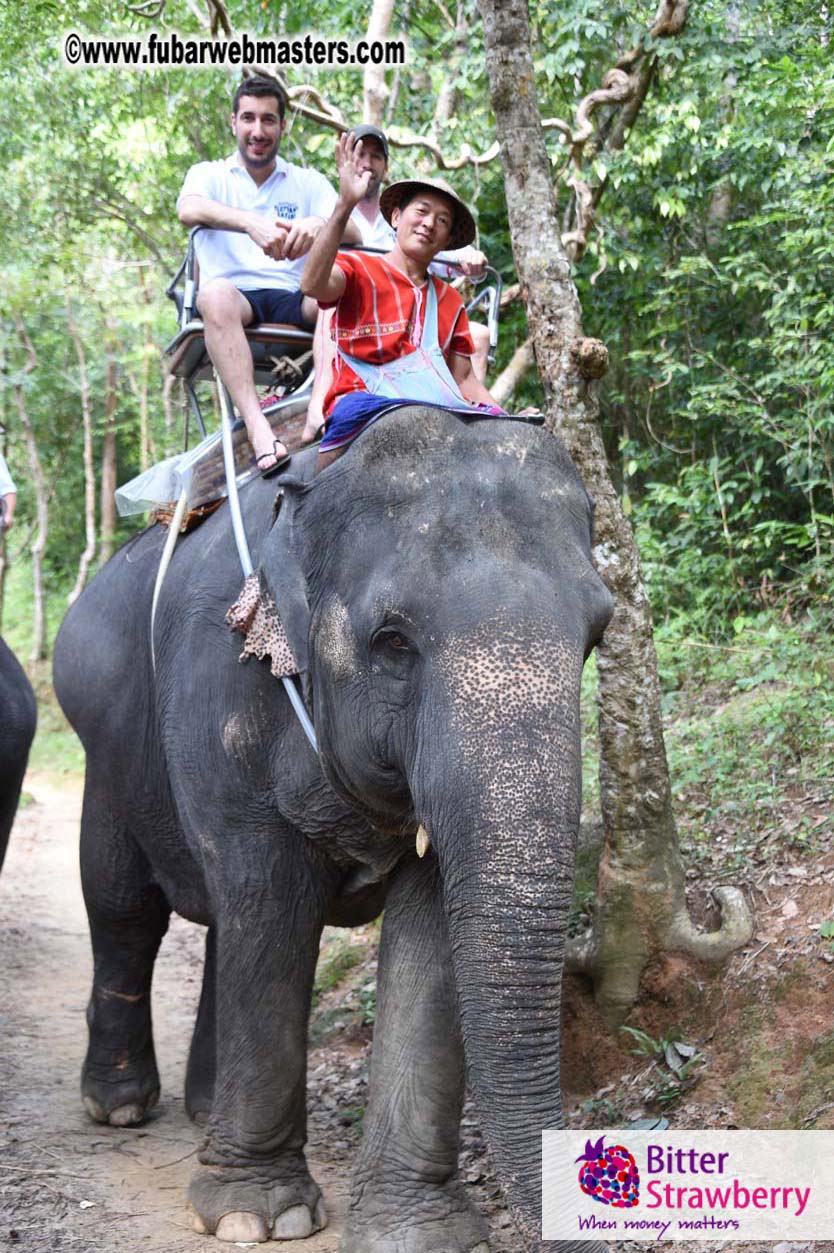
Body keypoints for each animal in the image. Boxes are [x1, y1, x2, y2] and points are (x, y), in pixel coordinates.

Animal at [53, 406, 613, 1253]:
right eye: (392, 642)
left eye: (596, 634)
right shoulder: (224, 688)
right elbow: (270, 901)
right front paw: (256, 1214)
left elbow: (427, 931)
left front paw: (420, 1231)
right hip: (110, 749)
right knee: (127, 905)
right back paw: (119, 1105)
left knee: (221, 922)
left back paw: (203, 1106)